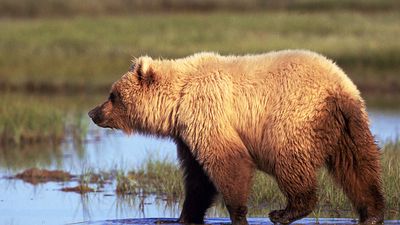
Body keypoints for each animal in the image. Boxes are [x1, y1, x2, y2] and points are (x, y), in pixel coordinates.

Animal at [88, 50, 384, 224]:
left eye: (112, 95)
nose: (93, 113)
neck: (177, 100)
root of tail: (337, 87)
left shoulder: (207, 111)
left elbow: (227, 161)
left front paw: (238, 213)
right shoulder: (187, 135)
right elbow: (198, 179)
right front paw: (184, 216)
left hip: (294, 116)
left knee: (290, 159)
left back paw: (284, 212)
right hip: (349, 124)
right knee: (358, 166)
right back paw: (372, 213)